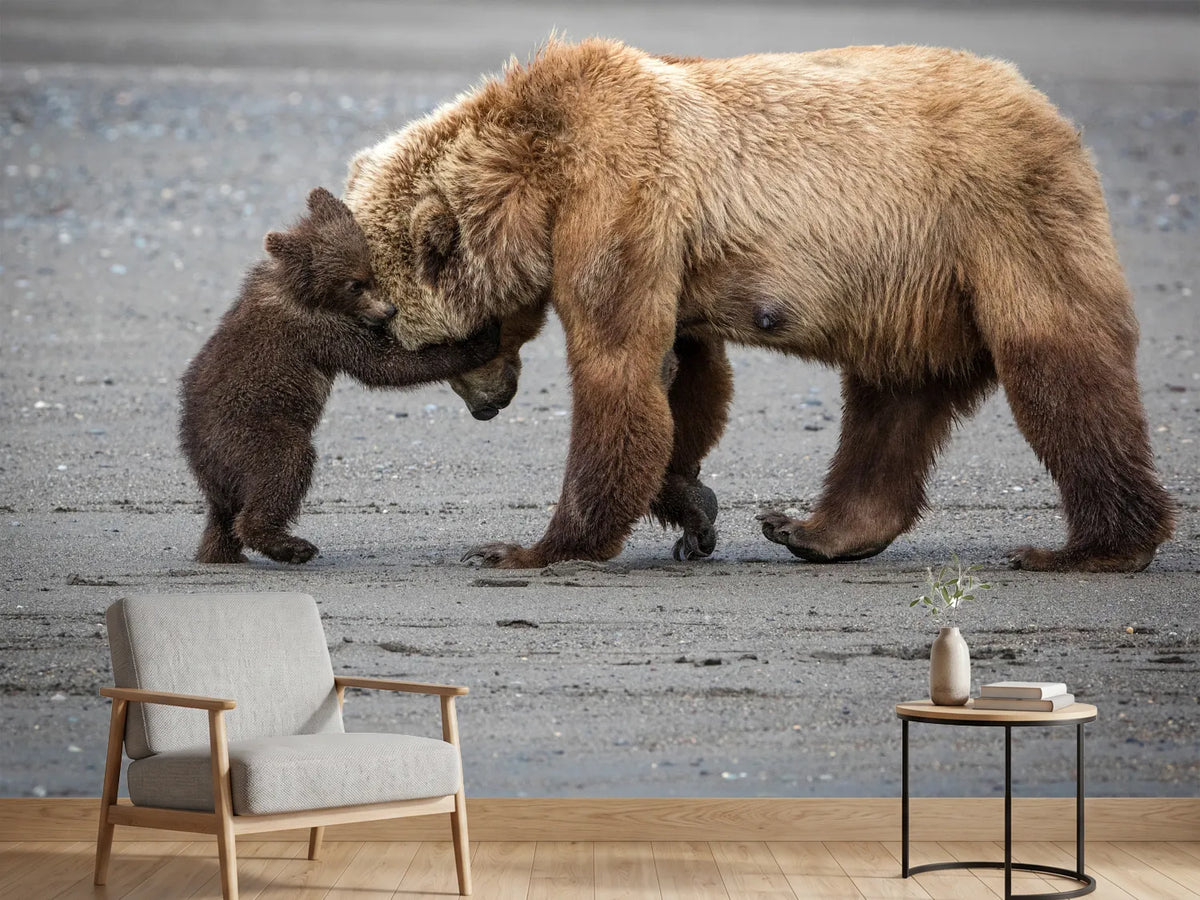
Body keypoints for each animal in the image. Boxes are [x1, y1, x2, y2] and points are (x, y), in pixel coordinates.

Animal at [179, 187, 500, 565]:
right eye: (354, 284)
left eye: (370, 272)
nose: (388, 310)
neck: (302, 290)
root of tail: (199, 459)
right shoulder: (319, 329)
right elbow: (383, 364)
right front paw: (481, 338)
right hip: (249, 432)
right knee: (285, 465)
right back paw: (290, 544)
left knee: (223, 516)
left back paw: (221, 552)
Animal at [344, 39, 1175, 573]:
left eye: (429, 343)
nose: (488, 406)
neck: (535, 173)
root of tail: (1048, 109)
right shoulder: (667, 246)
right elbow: (684, 377)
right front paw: (693, 508)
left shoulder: (620, 195)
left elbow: (618, 368)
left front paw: (529, 547)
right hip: (911, 287)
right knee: (893, 400)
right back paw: (814, 529)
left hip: (996, 220)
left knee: (1057, 364)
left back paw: (1093, 547)